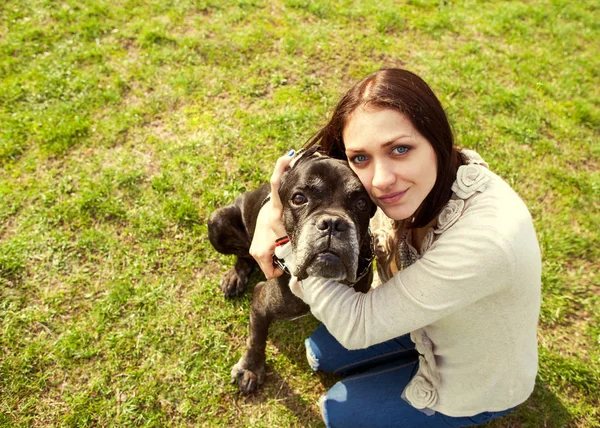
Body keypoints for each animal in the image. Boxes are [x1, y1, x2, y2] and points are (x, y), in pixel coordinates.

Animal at [206, 148, 376, 394]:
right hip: (217, 220)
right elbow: (256, 338)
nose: (333, 223)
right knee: (244, 253)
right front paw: (251, 368)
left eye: (362, 204)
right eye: (299, 199)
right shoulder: (262, 301)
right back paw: (235, 276)